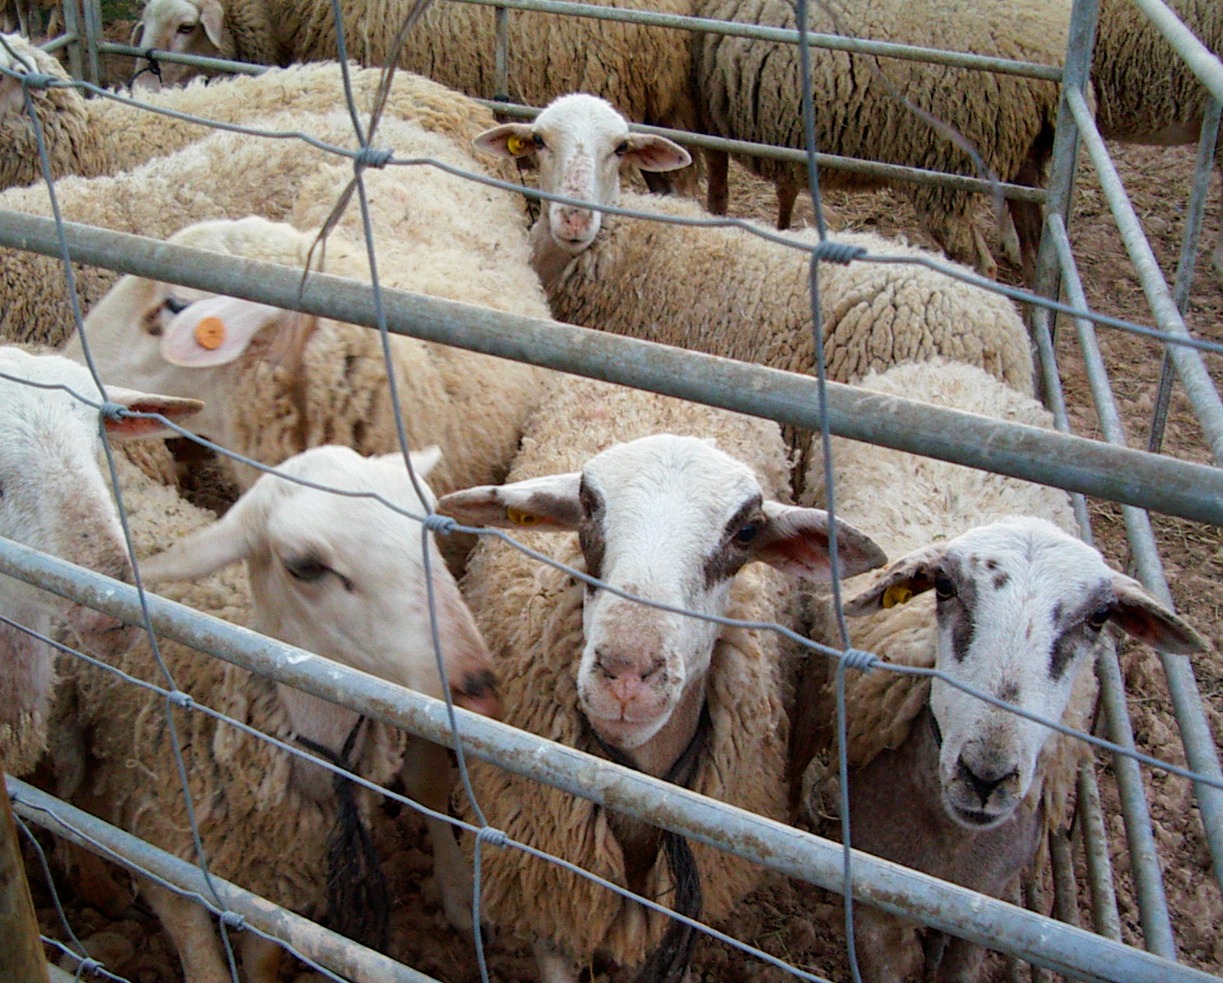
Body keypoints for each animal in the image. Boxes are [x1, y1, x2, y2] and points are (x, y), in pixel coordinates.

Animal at [63, 443, 502, 983]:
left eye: (431, 524)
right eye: (305, 566)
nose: (478, 691)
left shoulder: (270, 886)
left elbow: (265, 959)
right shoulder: (166, 863)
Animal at [692, 0, 1074, 282]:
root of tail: (1045, 52)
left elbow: (713, 190)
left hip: (948, 170)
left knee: (980, 263)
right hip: (1025, 158)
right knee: (1035, 247)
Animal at [788, 358, 1210, 983]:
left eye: (1100, 617)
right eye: (943, 586)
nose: (986, 776)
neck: (950, 839)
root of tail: (944, 366)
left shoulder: (986, 912)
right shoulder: (873, 903)